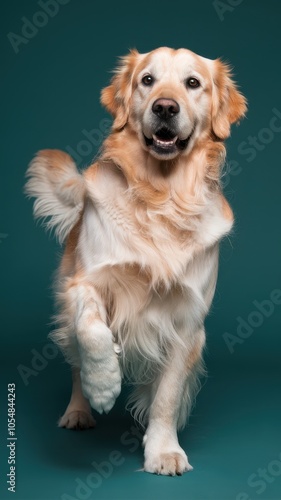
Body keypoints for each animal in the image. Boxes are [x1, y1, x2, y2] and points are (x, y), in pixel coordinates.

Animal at [25, 47, 245, 476]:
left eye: (192, 83)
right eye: (147, 80)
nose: (165, 107)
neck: (161, 196)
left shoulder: (186, 321)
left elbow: (167, 396)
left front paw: (163, 450)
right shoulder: (86, 282)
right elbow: (92, 331)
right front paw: (103, 385)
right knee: (74, 359)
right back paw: (79, 409)